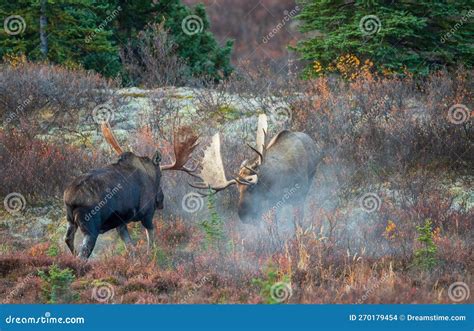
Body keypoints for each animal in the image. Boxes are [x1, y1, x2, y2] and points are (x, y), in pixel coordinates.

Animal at [64, 122, 197, 260]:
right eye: (161, 176)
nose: (160, 201)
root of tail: (69, 198)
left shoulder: (120, 222)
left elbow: (130, 247)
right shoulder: (147, 213)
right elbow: (151, 242)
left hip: (70, 221)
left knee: (68, 239)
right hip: (91, 227)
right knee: (82, 255)